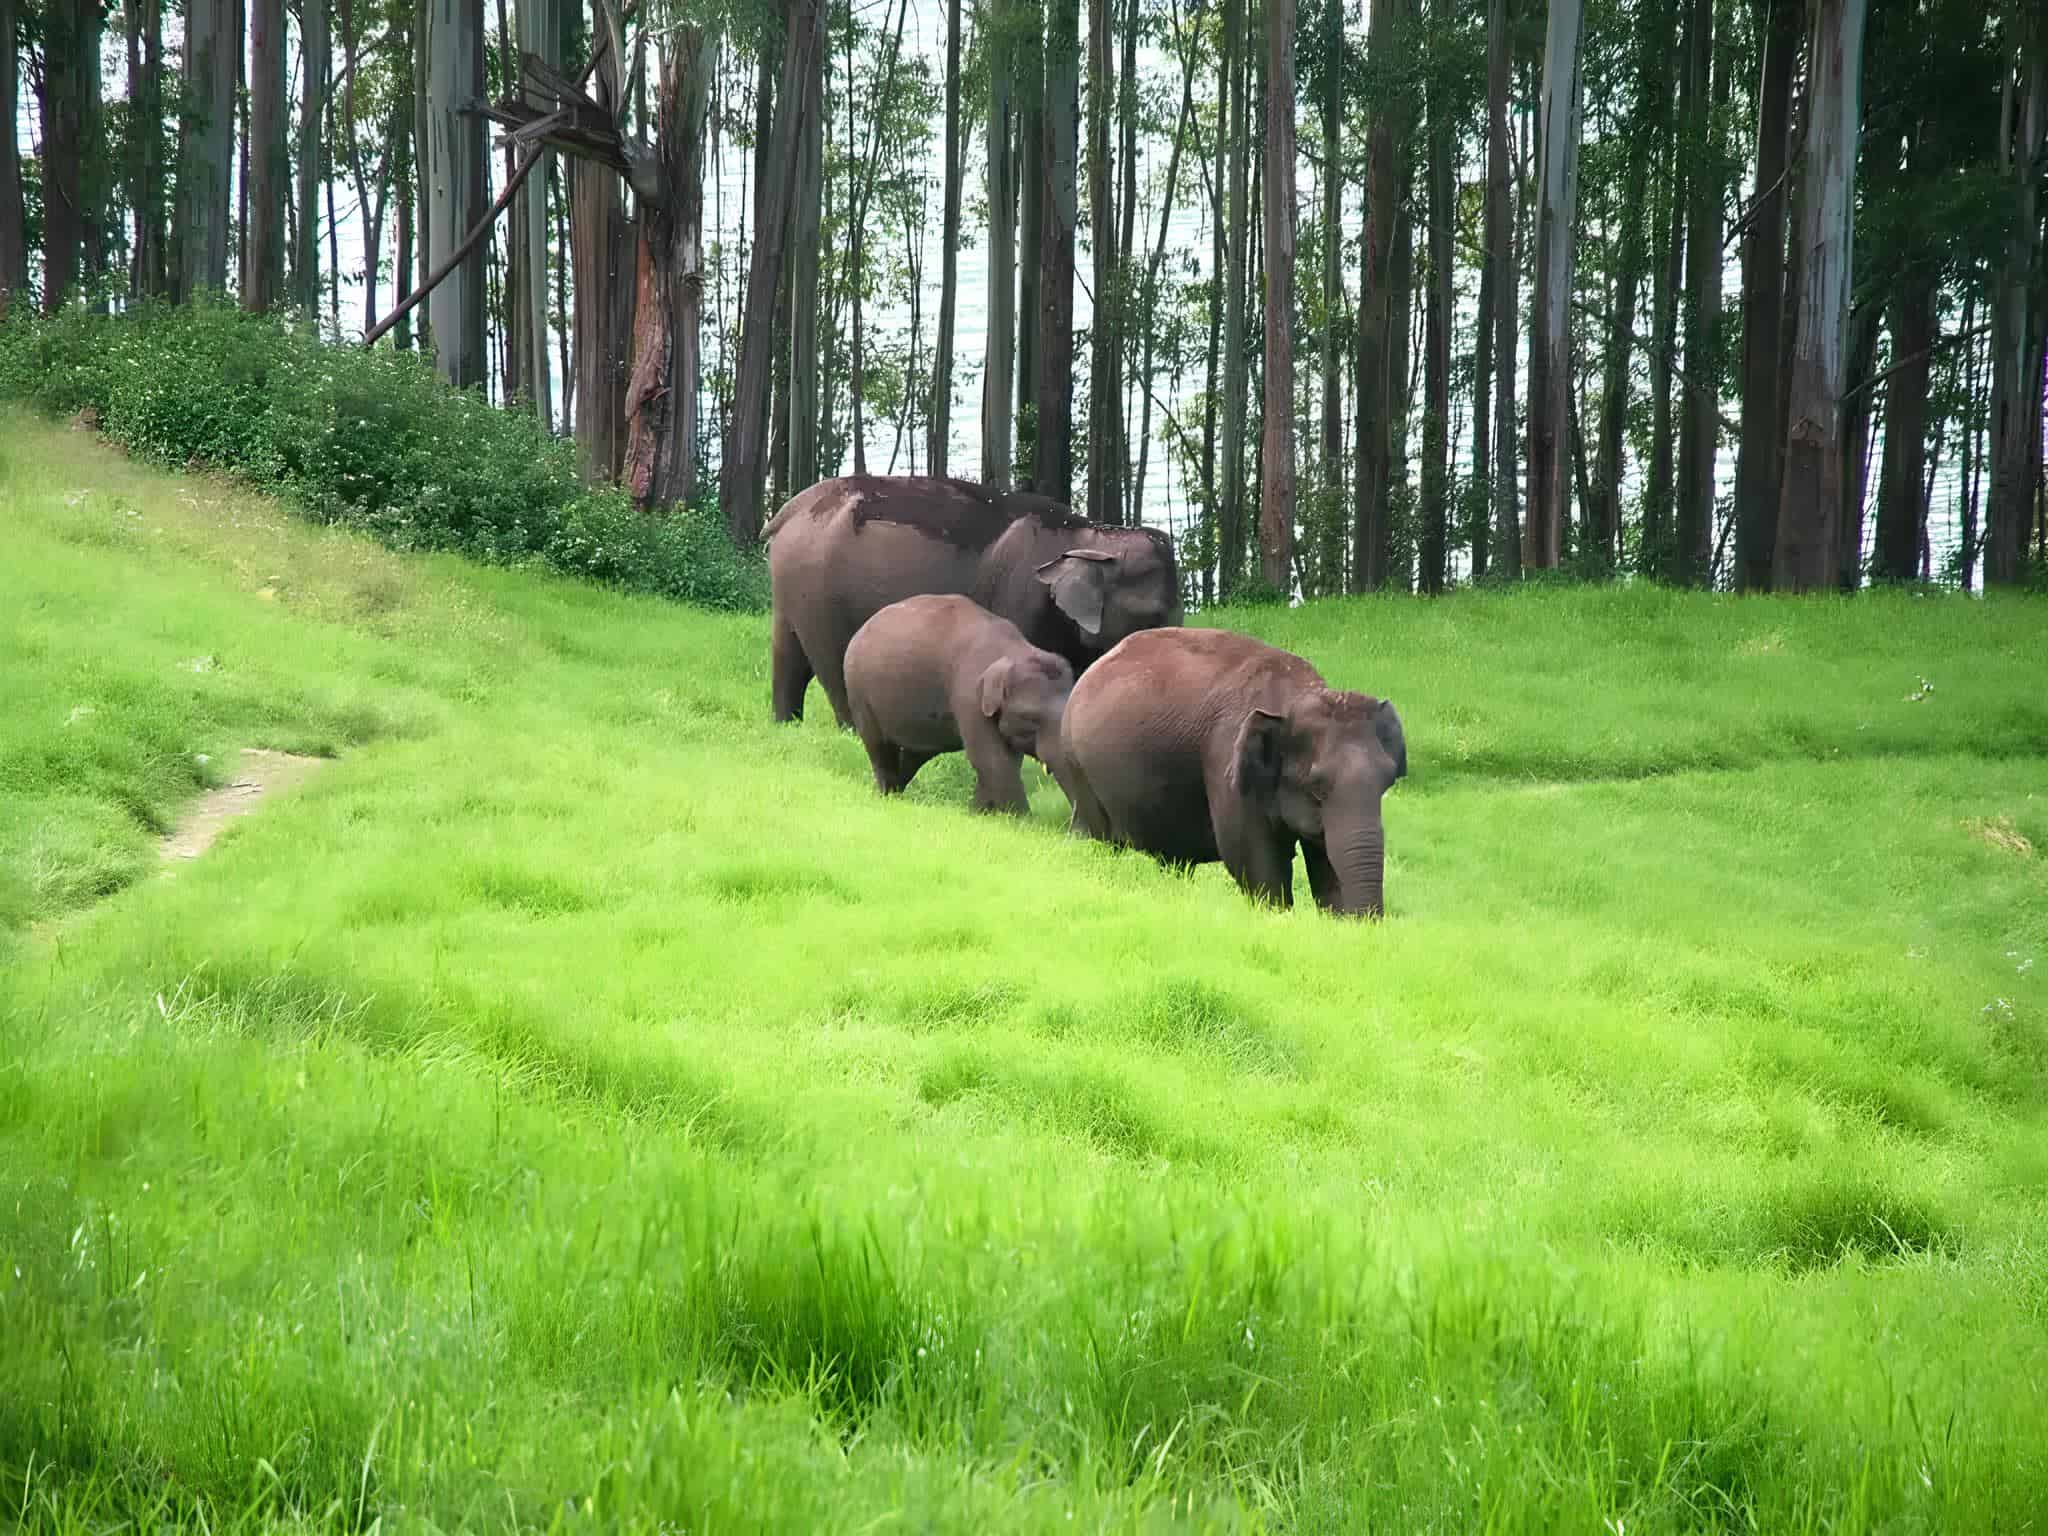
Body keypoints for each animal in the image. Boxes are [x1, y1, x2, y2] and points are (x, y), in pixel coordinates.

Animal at [763, 475, 1183, 727]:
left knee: (788, 654)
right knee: (831, 661)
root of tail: (789, 509)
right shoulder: (1020, 595)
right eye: (1154, 615)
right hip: (818, 587)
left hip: (793, 584)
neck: (1093, 534)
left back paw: (786, 724)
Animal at [842, 594, 1075, 814]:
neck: (1014, 650)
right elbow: (994, 760)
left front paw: (978, 813)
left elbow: (1000, 760)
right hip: (858, 689)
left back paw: (896, 792)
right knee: (878, 745)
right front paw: (1021, 821)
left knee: (915, 753)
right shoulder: (969, 695)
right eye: (1029, 717)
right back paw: (886, 794)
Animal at [1057, 627, 1406, 918]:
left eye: (1387, 783)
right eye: (1316, 788)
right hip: (1079, 768)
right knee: (1094, 836)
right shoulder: (1226, 761)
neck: (1298, 695)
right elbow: (1252, 858)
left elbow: (1325, 863)